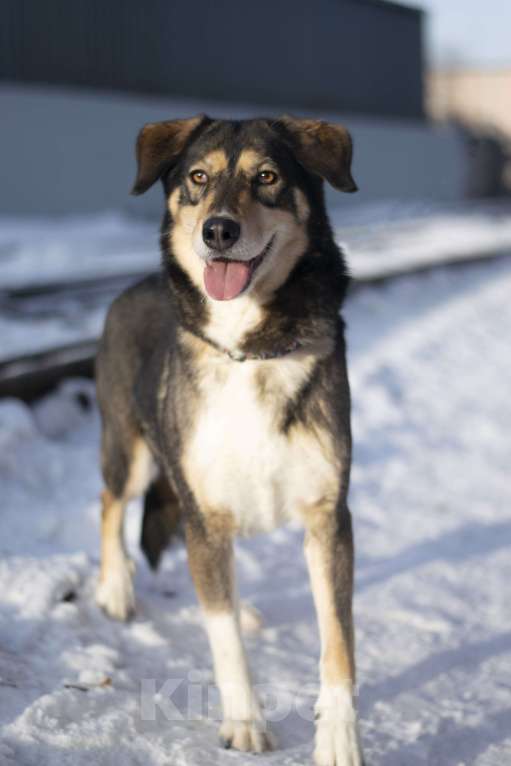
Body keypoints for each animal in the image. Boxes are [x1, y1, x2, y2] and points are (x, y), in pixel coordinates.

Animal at [94, 115, 362, 766]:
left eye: (266, 177)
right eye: (197, 177)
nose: (218, 231)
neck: (251, 348)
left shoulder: (329, 518)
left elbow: (337, 643)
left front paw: (339, 740)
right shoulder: (204, 515)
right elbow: (224, 639)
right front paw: (244, 722)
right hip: (132, 451)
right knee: (110, 501)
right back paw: (115, 587)